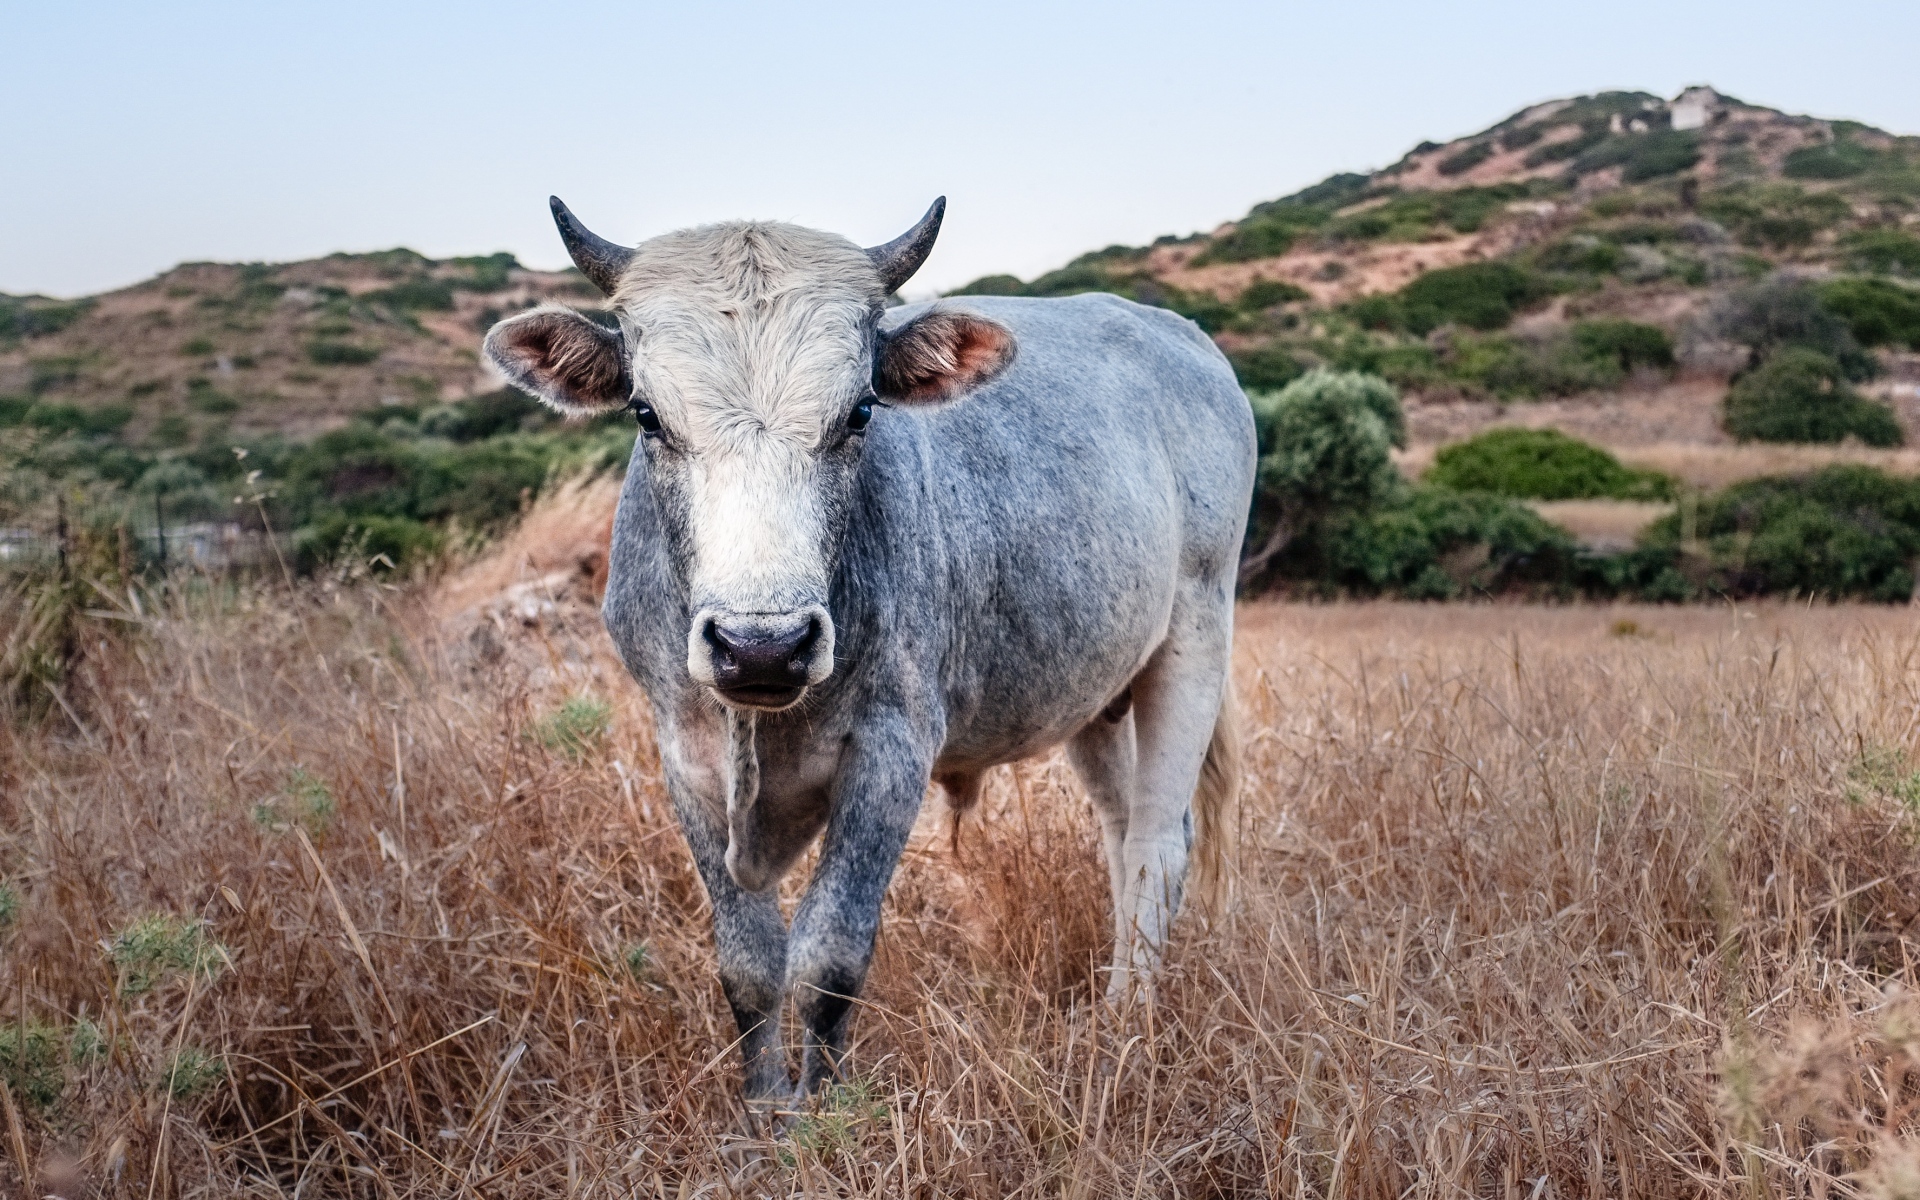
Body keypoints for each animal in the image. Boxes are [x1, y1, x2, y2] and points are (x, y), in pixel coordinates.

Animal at [483, 197, 1256, 1107]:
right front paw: (763, 1110)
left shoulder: (891, 752)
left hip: (1195, 641)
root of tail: (1185, 340)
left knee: (1157, 847)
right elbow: (748, 963)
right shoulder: (683, 756)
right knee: (1120, 830)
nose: (762, 648)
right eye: (646, 414)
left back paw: (1128, 1021)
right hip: (1096, 696)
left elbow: (827, 957)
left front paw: (821, 1113)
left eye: (858, 413)